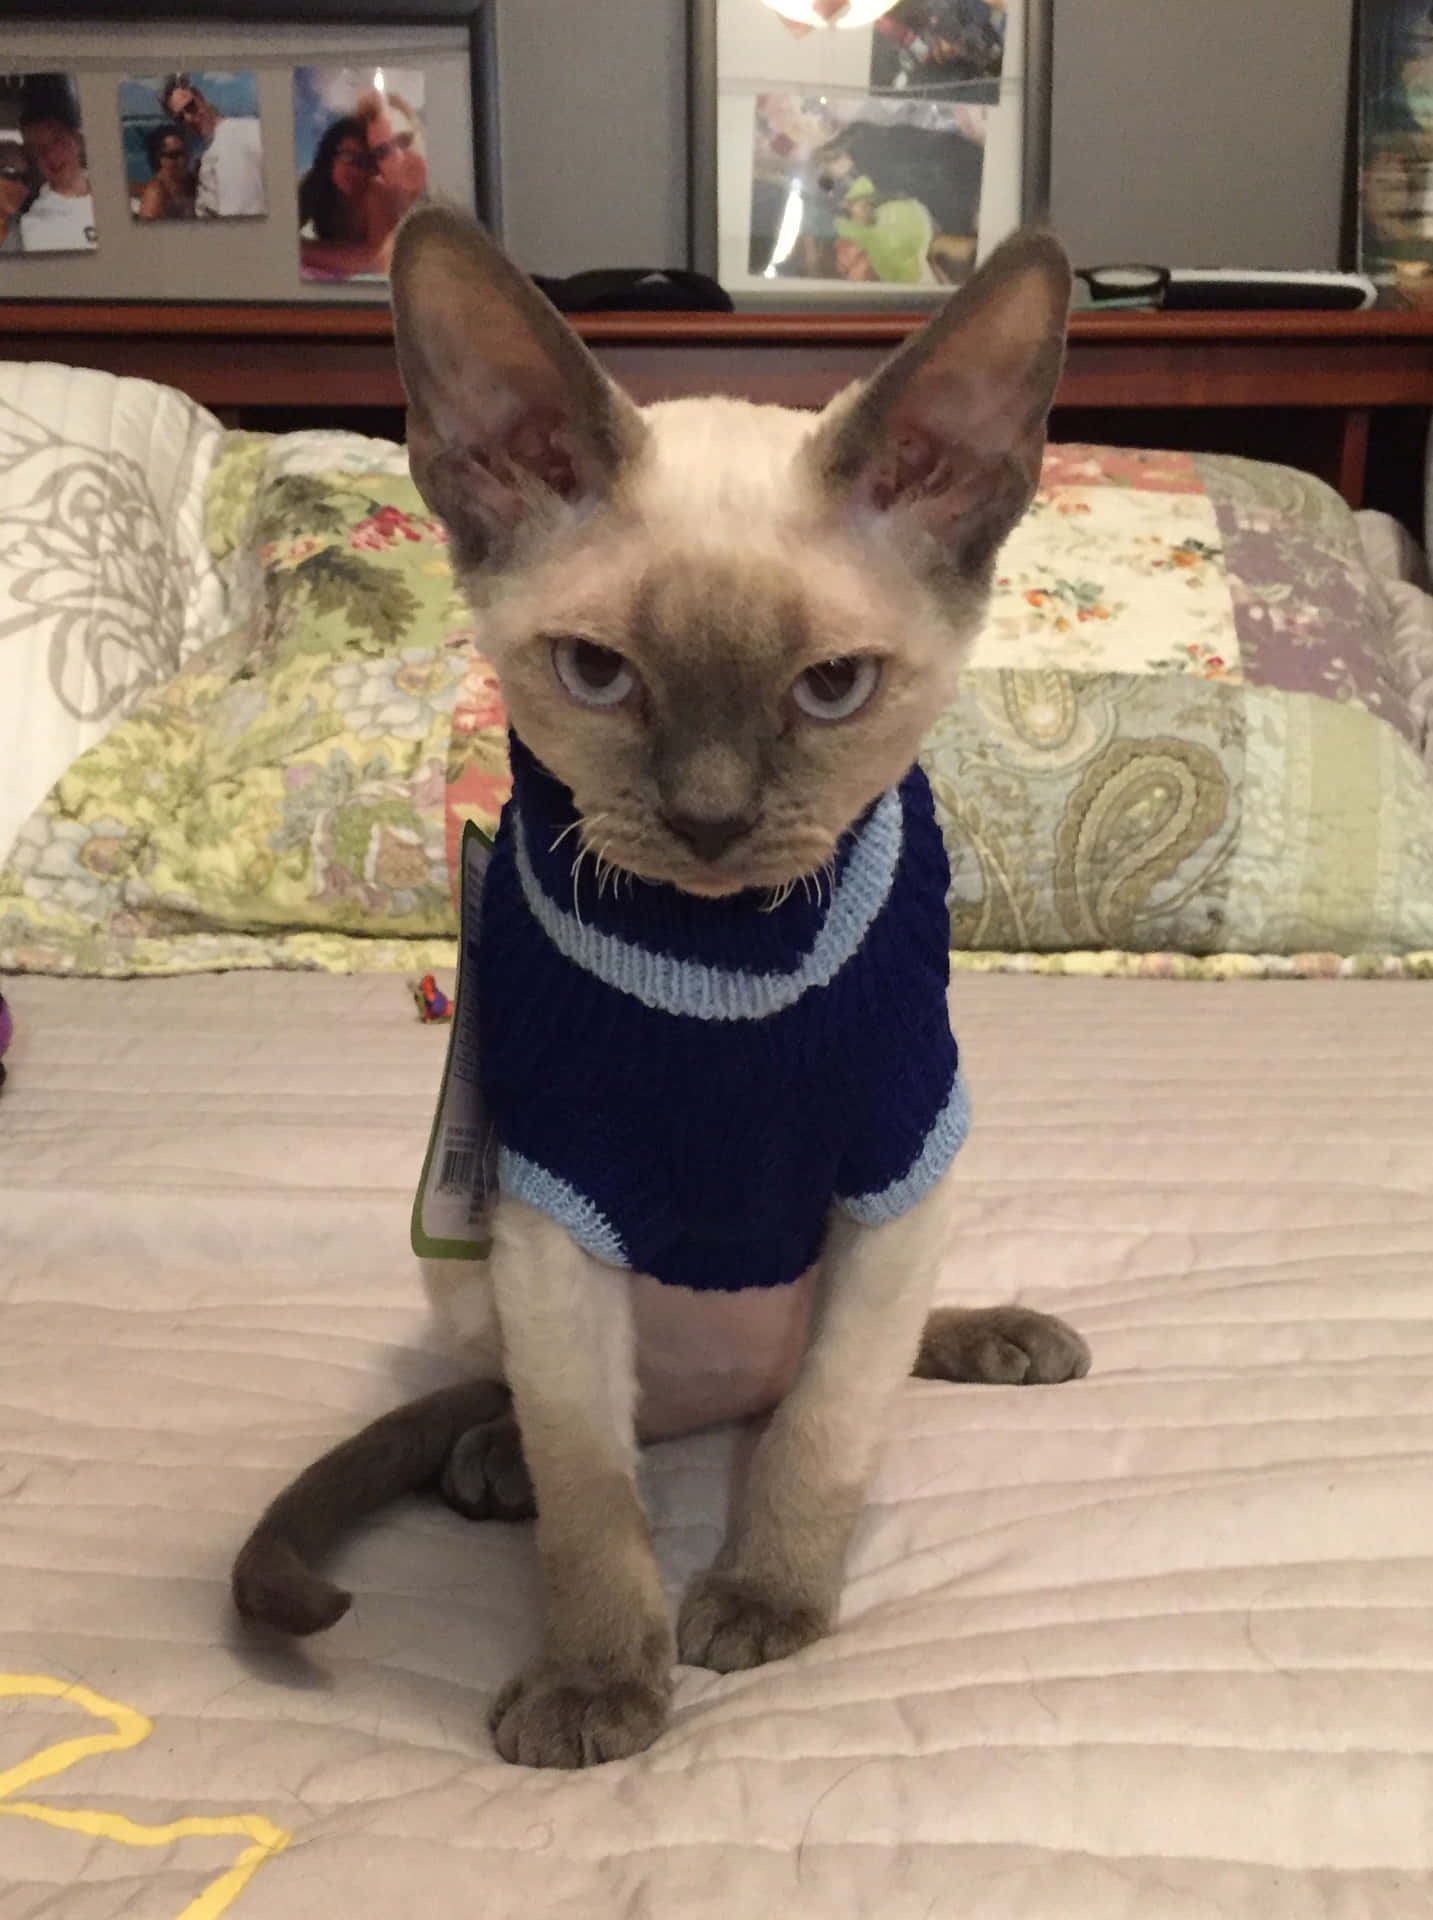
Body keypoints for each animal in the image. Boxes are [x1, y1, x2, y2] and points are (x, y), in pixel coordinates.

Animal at [231, 210, 1083, 1766]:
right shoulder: (559, 1205)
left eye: (828, 691)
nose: (707, 821)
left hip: (902, 1220)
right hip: (477, 1261)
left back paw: (998, 1339)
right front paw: (597, 1686)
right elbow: (592, 1495)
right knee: (578, 1420)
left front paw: (760, 1608)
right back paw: (490, 1463)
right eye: (595, 674)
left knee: (825, 1372)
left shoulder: (895, 1158)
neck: (720, 953)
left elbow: (824, 1434)